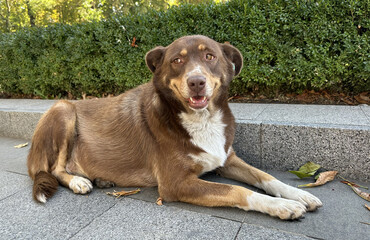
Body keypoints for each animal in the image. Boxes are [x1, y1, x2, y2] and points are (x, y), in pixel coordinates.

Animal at [27, 35, 320, 219]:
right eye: (177, 61)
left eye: (209, 56)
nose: (196, 81)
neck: (200, 119)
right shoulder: (176, 183)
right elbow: (239, 191)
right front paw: (282, 206)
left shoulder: (226, 159)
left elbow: (265, 177)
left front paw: (298, 195)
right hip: (63, 109)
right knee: (55, 169)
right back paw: (78, 181)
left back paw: (101, 178)